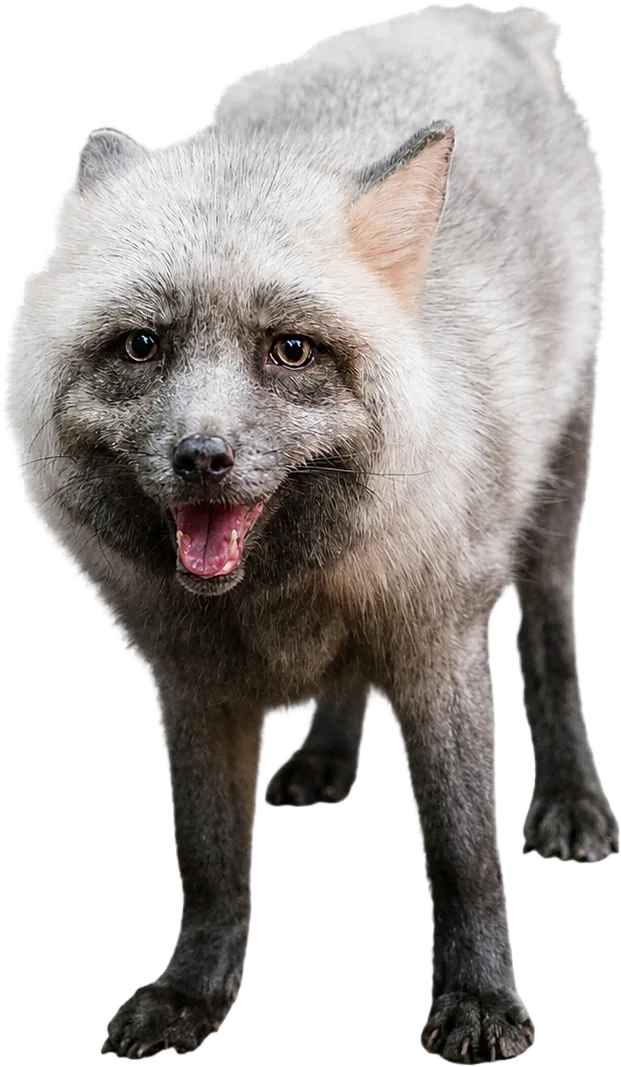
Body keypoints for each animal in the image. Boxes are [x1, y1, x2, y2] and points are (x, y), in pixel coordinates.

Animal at [2, 5, 615, 1064]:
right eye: (141, 346)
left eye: (290, 350)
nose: (202, 456)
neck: (281, 596)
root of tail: (468, 15)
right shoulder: (191, 678)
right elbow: (210, 862)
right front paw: (194, 993)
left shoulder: (436, 641)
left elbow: (463, 851)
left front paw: (480, 1001)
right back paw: (326, 761)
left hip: (551, 499)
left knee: (547, 644)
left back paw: (571, 800)